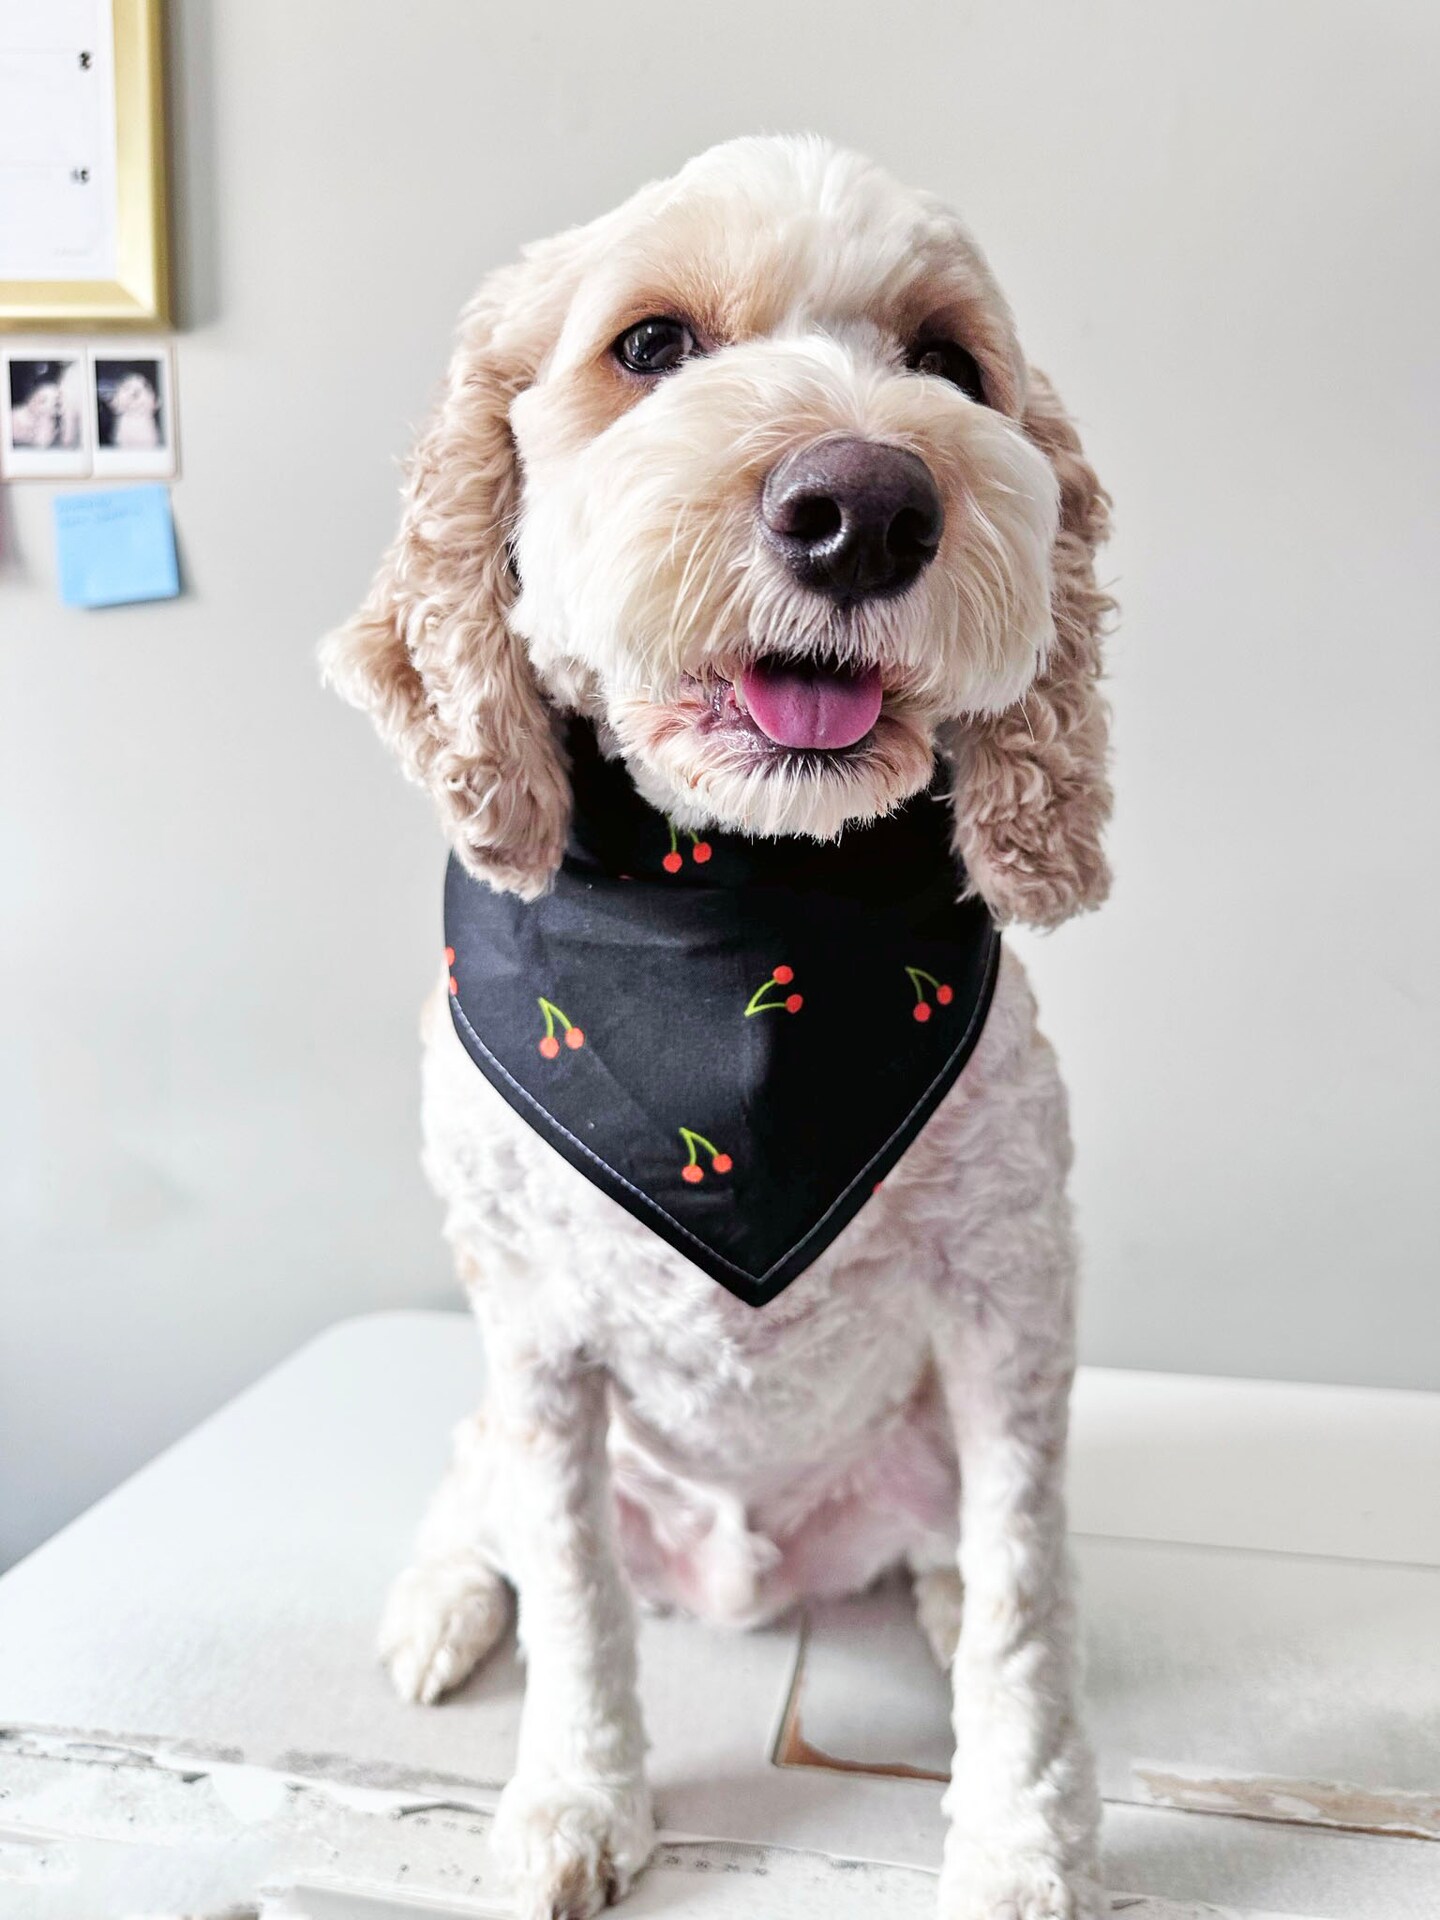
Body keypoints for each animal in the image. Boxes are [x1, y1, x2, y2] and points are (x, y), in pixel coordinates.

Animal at [324, 135, 1113, 1920]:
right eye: (651, 346)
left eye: (951, 365)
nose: (867, 505)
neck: (743, 912)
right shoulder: (536, 1334)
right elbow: (576, 1596)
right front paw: (575, 1801)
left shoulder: (1011, 1299)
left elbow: (1029, 1602)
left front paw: (1022, 1842)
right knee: (476, 1511)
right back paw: (436, 1609)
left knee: (951, 1553)